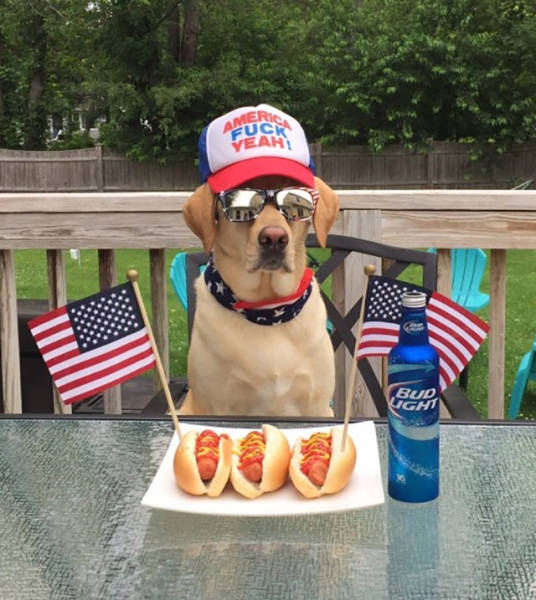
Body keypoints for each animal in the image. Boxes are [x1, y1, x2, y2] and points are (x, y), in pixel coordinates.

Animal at [178, 104, 339, 416]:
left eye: (295, 203)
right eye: (241, 205)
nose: (274, 238)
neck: (267, 308)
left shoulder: (318, 405)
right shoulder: (220, 407)